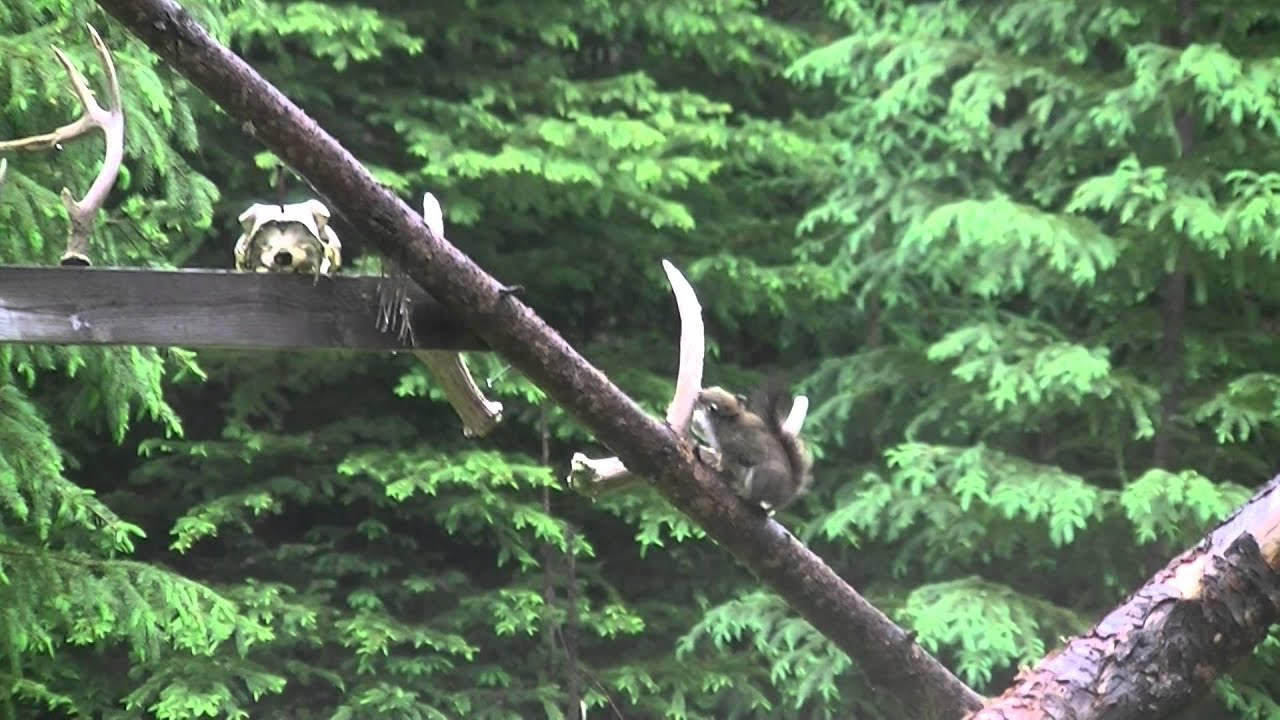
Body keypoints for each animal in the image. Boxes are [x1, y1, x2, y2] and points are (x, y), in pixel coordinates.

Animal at [691, 381, 813, 515]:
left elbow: (725, 461)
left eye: (711, 406)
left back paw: (742, 493)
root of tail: (790, 491)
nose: (699, 393)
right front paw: (695, 418)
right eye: (716, 388)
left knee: (755, 499)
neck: (728, 418)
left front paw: (717, 467)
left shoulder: (731, 447)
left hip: (763, 476)